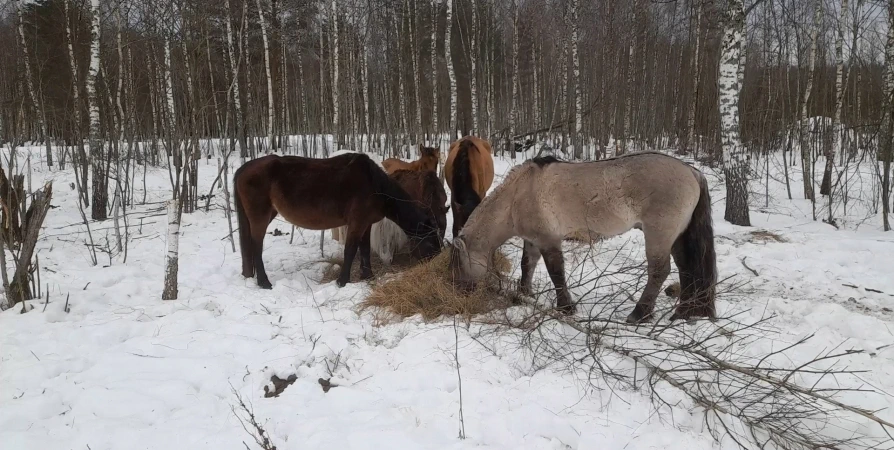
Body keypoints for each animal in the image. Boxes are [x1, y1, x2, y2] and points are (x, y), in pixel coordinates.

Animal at [231, 153, 440, 288]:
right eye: (431, 242)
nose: (434, 263)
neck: (375, 185)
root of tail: (243, 169)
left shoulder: (366, 224)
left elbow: (364, 250)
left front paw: (368, 276)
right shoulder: (356, 223)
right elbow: (351, 250)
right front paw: (342, 281)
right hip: (260, 216)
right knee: (256, 246)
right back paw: (264, 282)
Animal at [452, 152, 716, 324]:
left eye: (459, 265)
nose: (462, 293)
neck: (517, 195)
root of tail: (691, 171)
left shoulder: (549, 240)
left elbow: (556, 273)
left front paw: (566, 307)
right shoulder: (533, 239)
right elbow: (527, 264)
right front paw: (525, 294)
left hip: (658, 235)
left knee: (659, 271)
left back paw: (639, 314)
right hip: (678, 236)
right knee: (686, 268)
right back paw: (683, 312)